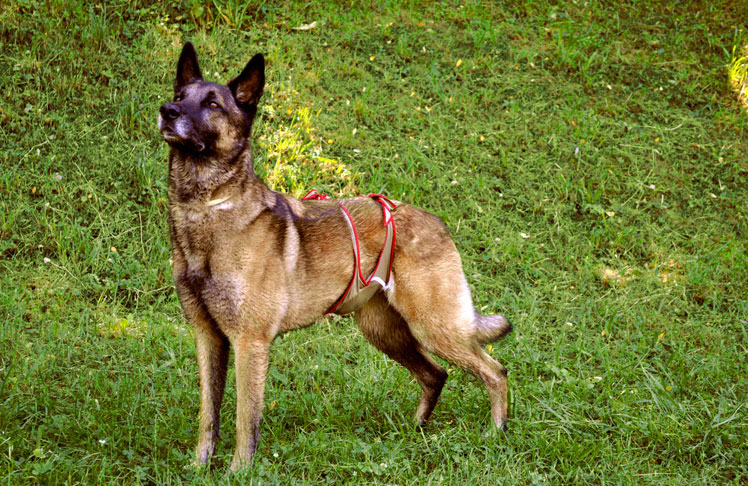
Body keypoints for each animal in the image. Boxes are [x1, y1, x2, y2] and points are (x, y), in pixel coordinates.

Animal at [159, 42, 516, 470]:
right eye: (180, 96)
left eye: (212, 103)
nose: (167, 110)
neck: (208, 207)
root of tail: (434, 221)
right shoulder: (208, 337)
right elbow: (207, 414)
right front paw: (200, 466)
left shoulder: (250, 343)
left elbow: (246, 419)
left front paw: (238, 472)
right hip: (385, 332)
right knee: (436, 374)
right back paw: (415, 431)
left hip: (434, 326)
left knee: (495, 371)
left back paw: (495, 432)